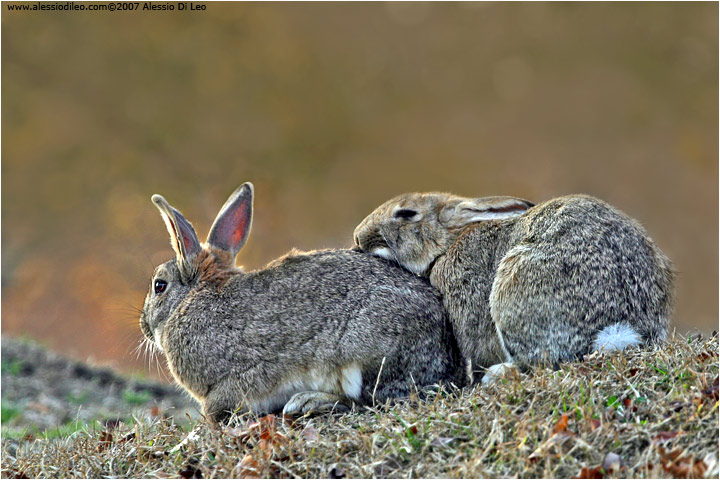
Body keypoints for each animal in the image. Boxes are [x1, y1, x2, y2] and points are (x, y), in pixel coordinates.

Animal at [139, 182, 466, 422]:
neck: (192, 299)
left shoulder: (234, 380)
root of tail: (445, 353)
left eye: (159, 286)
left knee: (369, 400)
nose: (143, 326)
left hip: (362, 351)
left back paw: (307, 402)